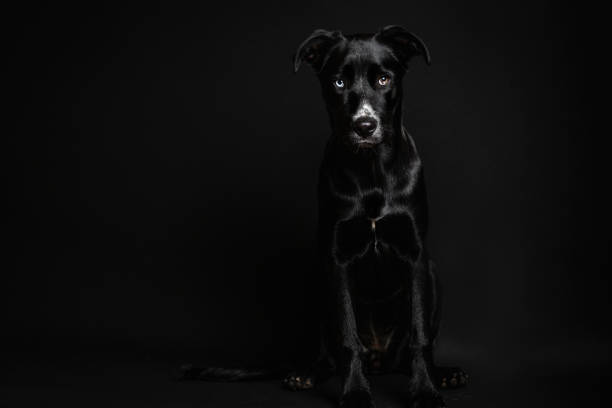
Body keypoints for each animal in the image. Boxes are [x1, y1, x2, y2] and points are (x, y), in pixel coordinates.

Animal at [179, 25, 466, 408]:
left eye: (384, 79)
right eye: (339, 83)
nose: (364, 125)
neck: (371, 171)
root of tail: (381, 359)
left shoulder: (415, 254)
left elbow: (420, 336)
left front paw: (424, 391)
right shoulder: (337, 258)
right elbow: (347, 339)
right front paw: (356, 393)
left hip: (432, 276)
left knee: (409, 351)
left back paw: (443, 373)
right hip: (318, 281)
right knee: (328, 356)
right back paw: (307, 374)